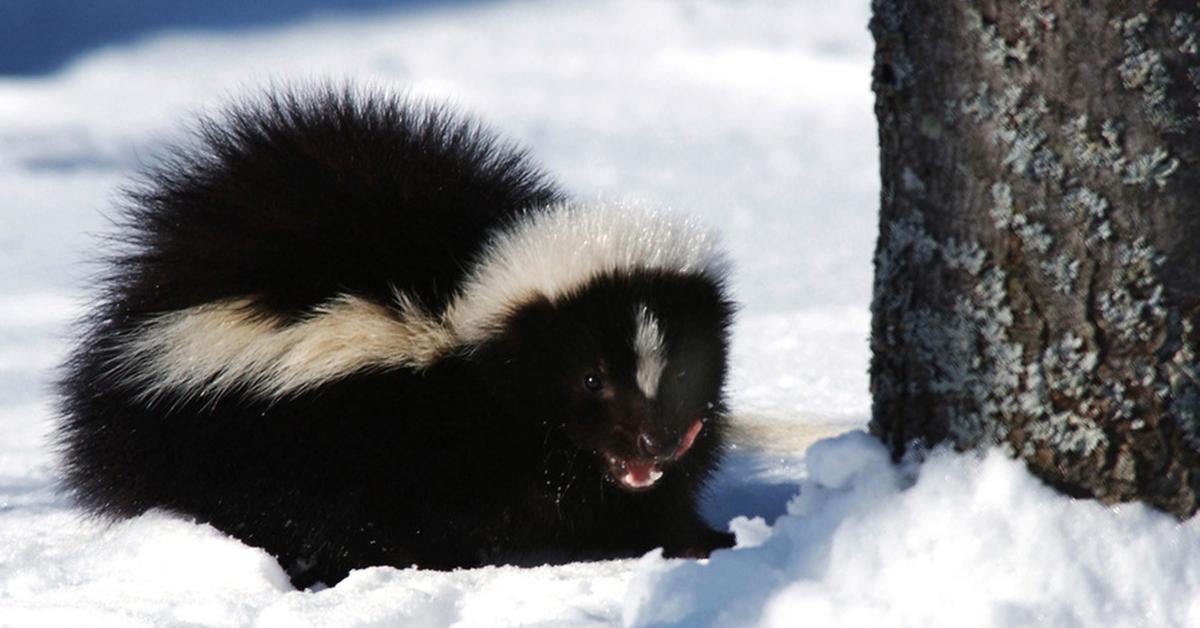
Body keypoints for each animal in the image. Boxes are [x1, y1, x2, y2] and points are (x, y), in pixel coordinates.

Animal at [60, 85, 734, 588]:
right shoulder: (407, 436)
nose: (652, 442)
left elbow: (644, 504)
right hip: (233, 442)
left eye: (680, 371)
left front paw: (704, 541)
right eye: (591, 379)